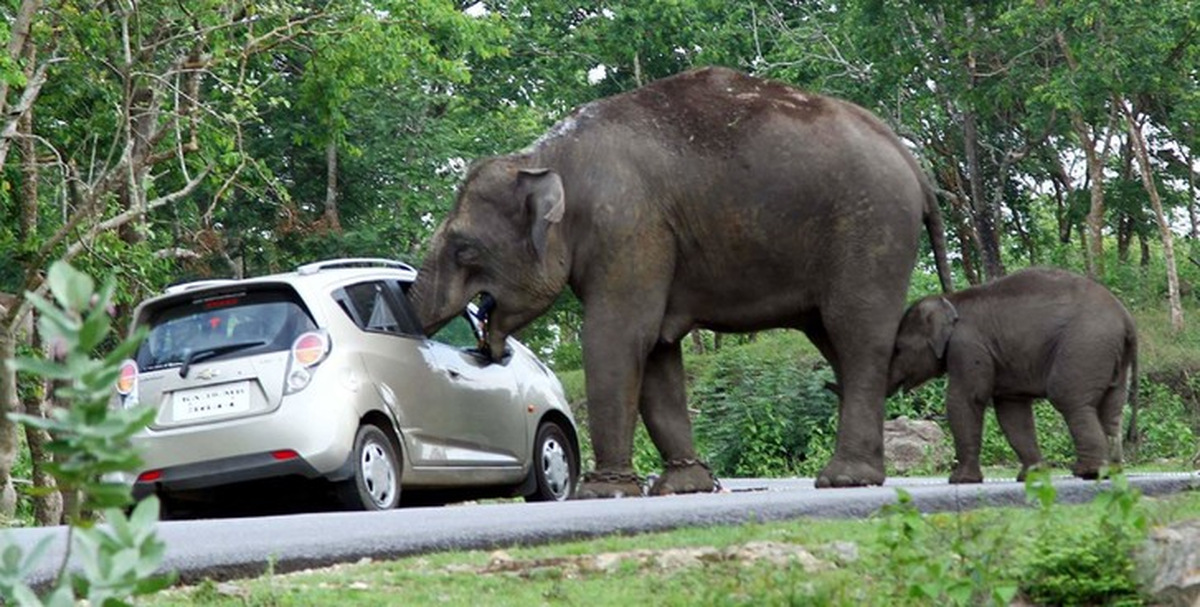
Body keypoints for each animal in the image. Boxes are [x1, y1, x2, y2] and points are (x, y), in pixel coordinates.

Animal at [408, 66, 950, 499]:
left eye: (463, 248)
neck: (545, 156)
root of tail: (911, 161)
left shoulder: (628, 226)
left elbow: (618, 336)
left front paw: (602, 494)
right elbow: (657, 351)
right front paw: (683, 486)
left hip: (871, 227)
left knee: (855, 334)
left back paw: (844, 479)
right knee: (837, 339)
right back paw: (866, 474)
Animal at [892, 268, 1132, 484]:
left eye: (898, 349)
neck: (951, 299)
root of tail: (1125, 317)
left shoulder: (967, 345)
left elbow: (966, 399)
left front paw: (960, 480)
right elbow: (1012, 411)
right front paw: (1032, 477)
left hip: (1086, 346)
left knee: (1069, 399)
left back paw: (1088, 472)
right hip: (1111, 357)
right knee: (1112, 407)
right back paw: (1111, 471)